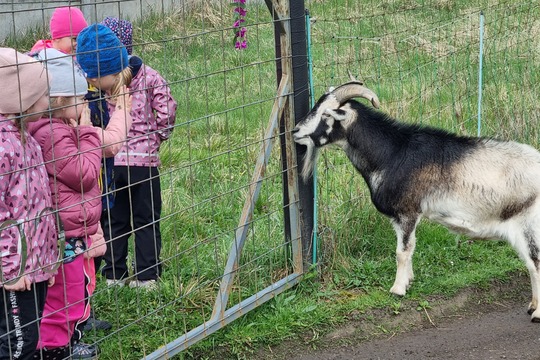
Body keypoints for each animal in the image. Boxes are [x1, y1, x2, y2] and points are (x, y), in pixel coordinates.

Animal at [294, 80, 540, 322]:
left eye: (326, 114)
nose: (295, 131)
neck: (391, 153)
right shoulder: (398, 218)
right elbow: (408, 248)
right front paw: (409, 280)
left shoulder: (408, 211)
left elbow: (402, 251)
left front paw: (397, 289)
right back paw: (532, 305)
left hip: (526, 225)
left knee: (535, 262)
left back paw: (536, 313)